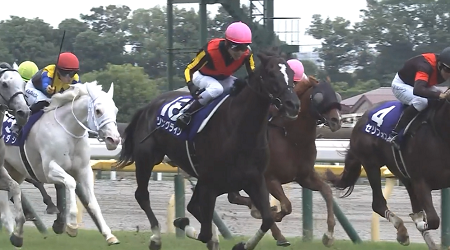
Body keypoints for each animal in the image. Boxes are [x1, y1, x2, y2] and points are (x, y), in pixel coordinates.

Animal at [0, 81, 122, 245]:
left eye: (115, 110)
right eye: (98, 111)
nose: (114, 140)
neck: (68, 131)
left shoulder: (84, 171)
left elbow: (93, 203)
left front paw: (109, 235)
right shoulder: (48, 170)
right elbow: (70, 182)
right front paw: (72, 226)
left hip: (15, 171)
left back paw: (14, 234)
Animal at [114, 48, 300, 250]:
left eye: (291, 74)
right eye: (271, 74)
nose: (293, 104)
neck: (239, 129)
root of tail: (148, 106)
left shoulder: (254, 179)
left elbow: (267, 219)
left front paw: (242, 244)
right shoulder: (212, 182)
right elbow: (204, 232)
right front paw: (183, 224)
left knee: (192, 206)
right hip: (147, 158)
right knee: (142, 195)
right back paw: (156, 238)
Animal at [227, 75, 342, 246]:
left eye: (336, 95)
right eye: (319, 97)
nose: (336, 120)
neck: (292, 139)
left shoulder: (304, 177)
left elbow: (327, 191)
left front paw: (329, 235)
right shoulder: (269, 179)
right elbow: (286, 206)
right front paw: (274, 218)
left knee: (234, 197)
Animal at [326, 94, 450, 249]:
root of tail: (362, 117)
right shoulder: (421, 182)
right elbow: (433, 220)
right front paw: (418, 226)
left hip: (403, 175)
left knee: (414, 209)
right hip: (371, 164)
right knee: (378, 203)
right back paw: (402, 231)